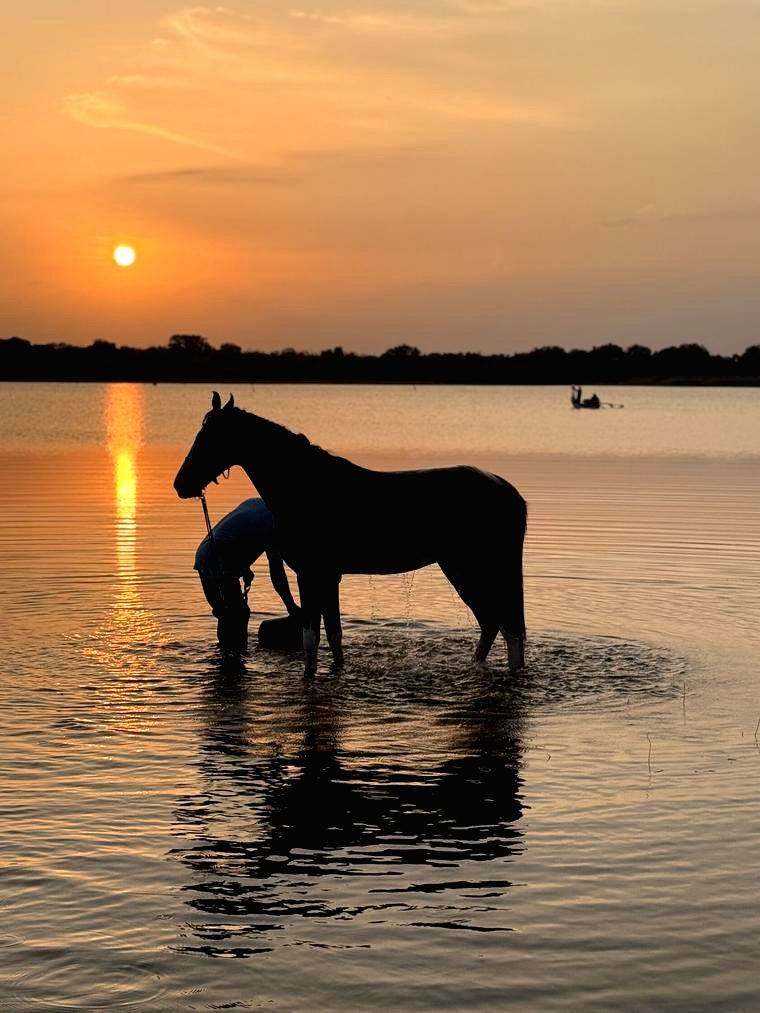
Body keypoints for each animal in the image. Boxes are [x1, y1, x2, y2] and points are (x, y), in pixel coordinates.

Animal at [174, 392, 527, 676]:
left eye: (209, 437)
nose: (180, 484)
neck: (305, 486)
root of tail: (507, 490)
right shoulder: (328, 577)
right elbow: (333, 635)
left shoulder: (312, 574)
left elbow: (312, 638)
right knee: (495, 624)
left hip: (471, 569)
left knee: (504, 625)